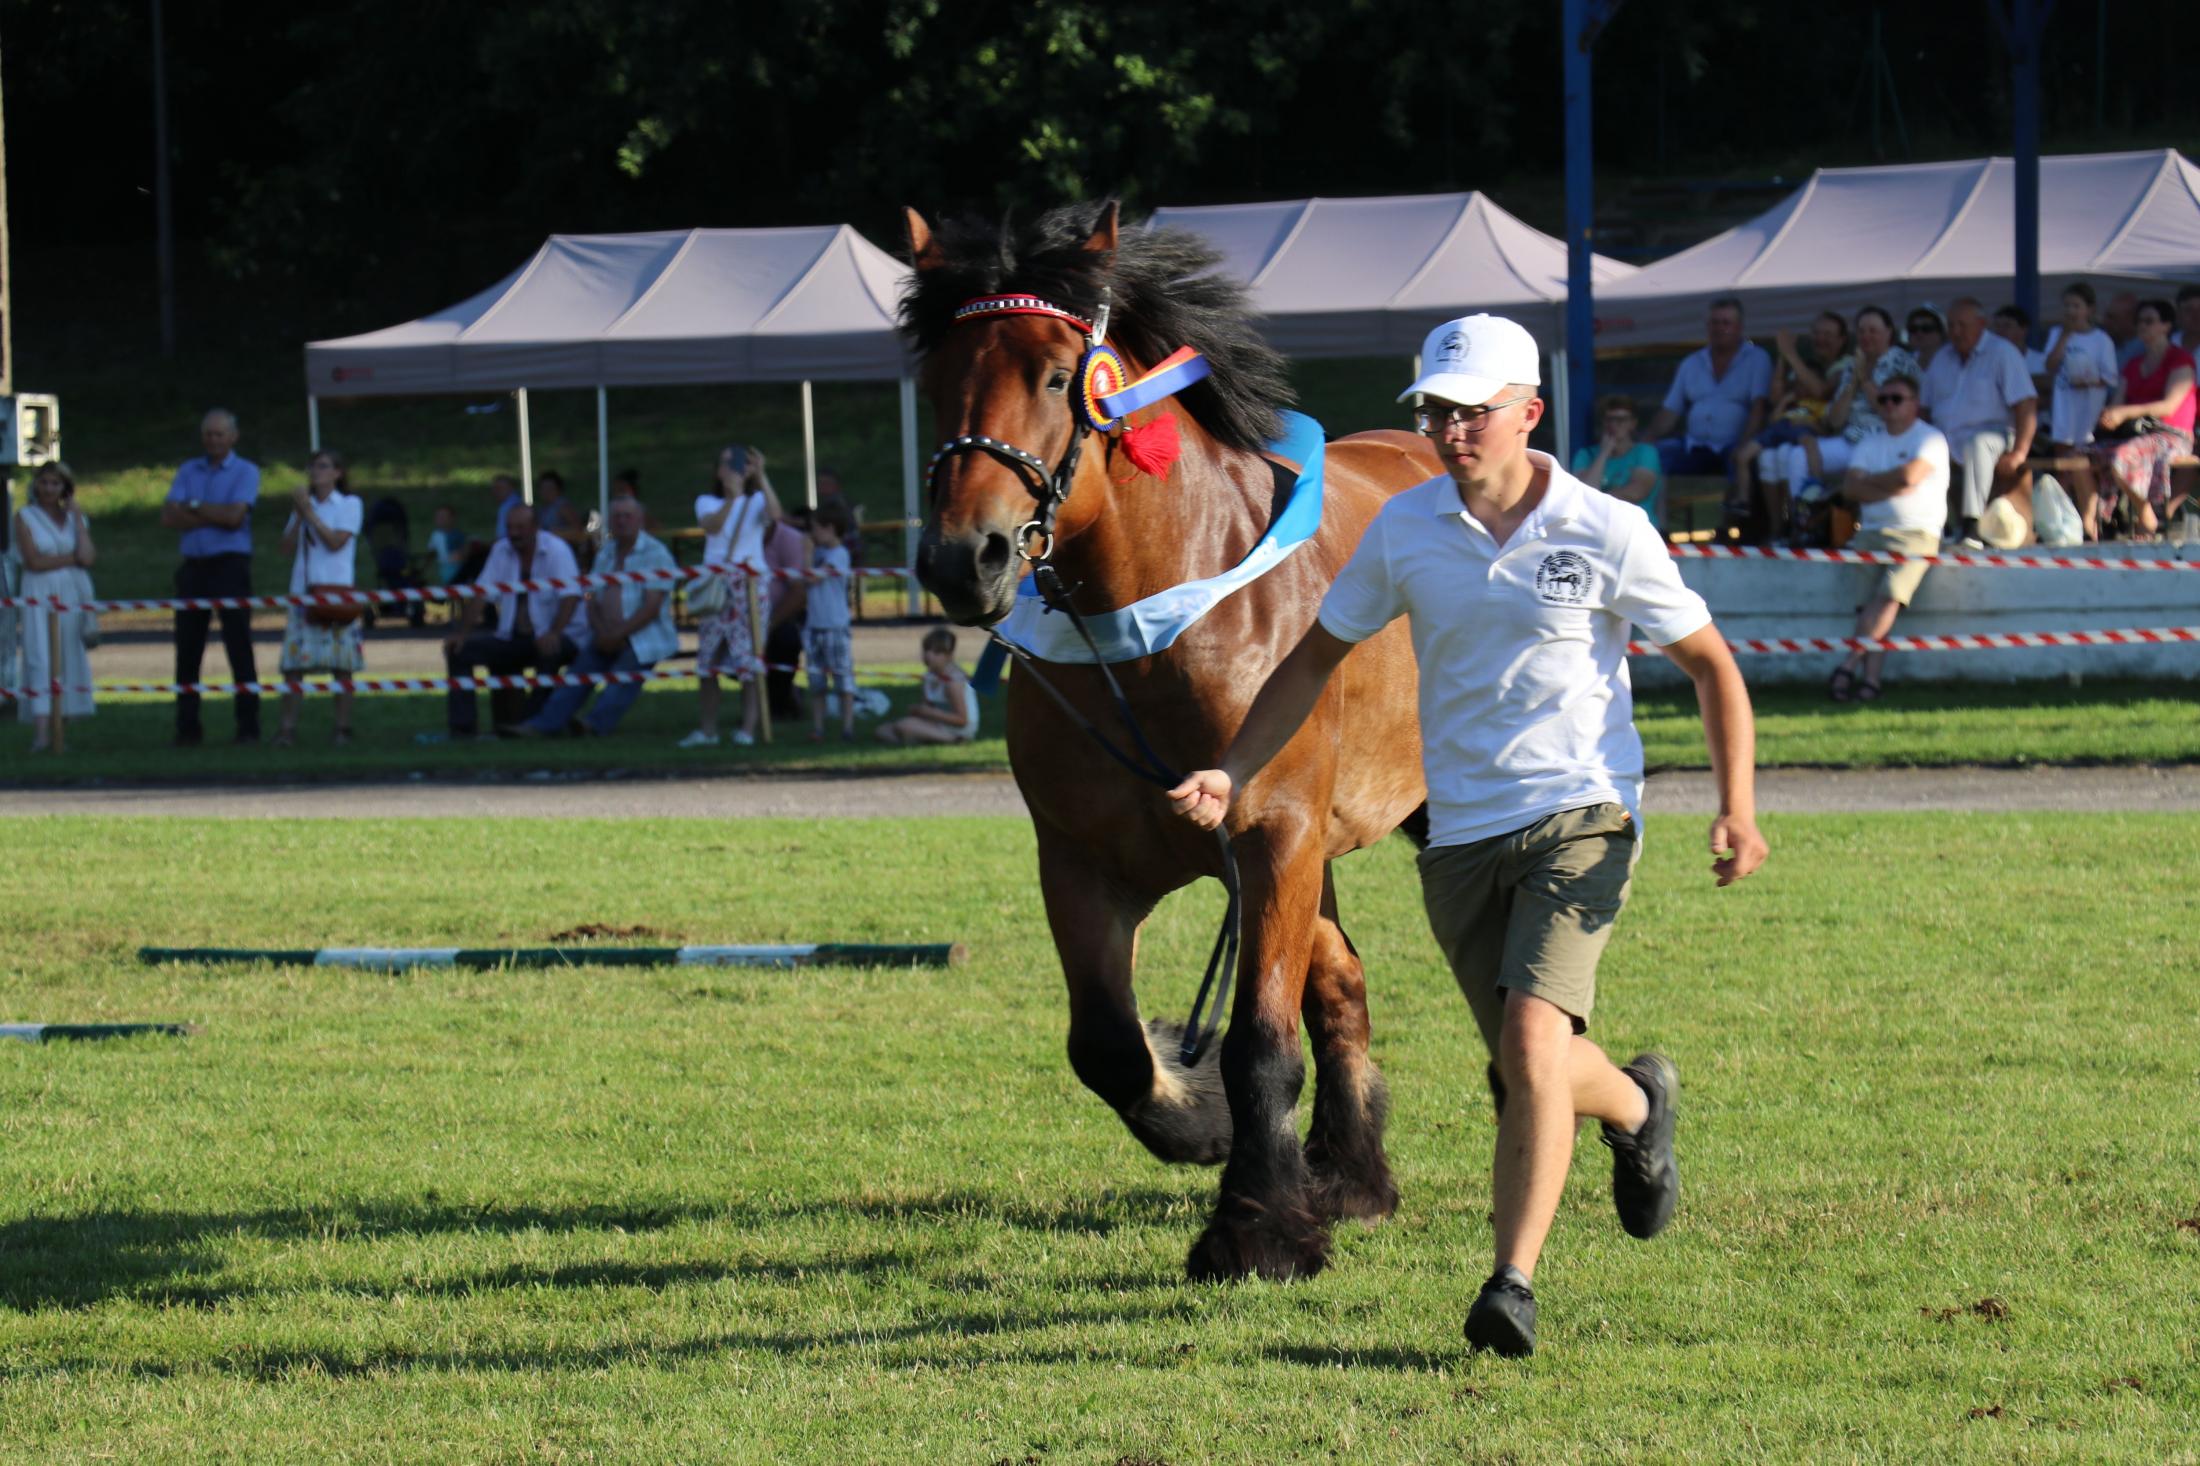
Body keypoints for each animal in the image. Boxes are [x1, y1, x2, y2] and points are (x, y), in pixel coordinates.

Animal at [902, 200, 1440, 1281]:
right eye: (934, 383)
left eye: (1057, 377)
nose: (962, 558)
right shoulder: (1080, 861)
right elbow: (1106, 1045)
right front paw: (1203, 1121)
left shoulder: (1273, 842)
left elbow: (1260, 1041)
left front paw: (1256, 1226)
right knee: (1341, 983)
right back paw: (1353, 1172)